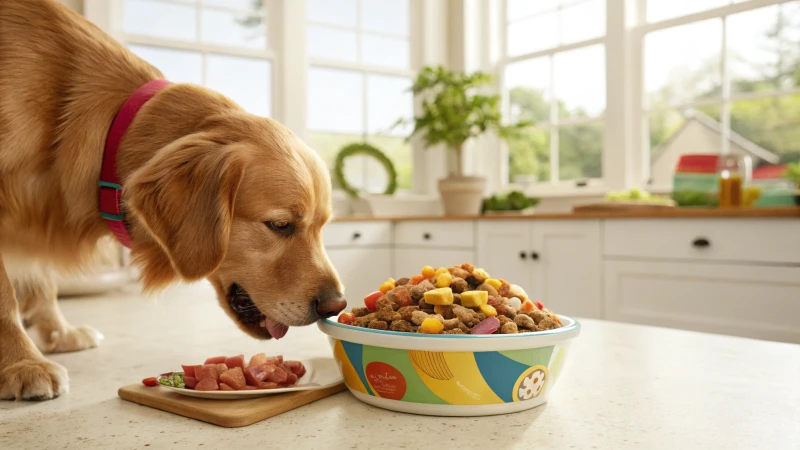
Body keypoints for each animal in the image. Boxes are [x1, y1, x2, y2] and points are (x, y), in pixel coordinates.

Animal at [0, 0, 344, 400]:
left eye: (322, 226)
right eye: (280, 225)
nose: (336, 306)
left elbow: (41, 278)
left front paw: (59, 333)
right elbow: (7, 294)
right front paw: (23, 363)